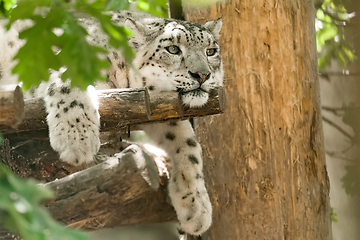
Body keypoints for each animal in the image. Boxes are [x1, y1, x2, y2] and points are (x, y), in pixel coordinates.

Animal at [0, 10, 222, 235]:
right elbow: (71, 82)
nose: (202, 74)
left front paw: (197, 207)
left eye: (211, 51)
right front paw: (77, 141)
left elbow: (188, 143)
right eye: (173, 49)